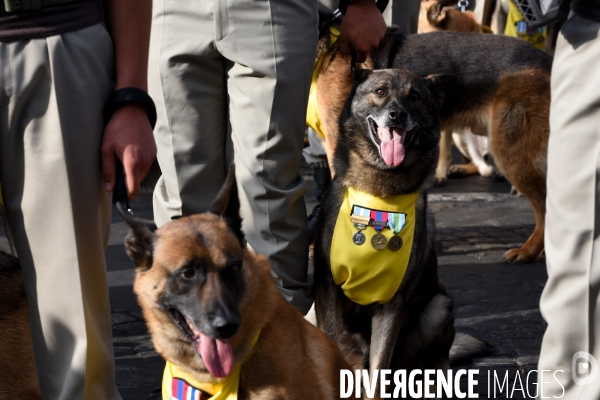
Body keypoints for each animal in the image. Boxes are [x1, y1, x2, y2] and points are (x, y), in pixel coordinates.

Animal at [314, 69, 488, 390]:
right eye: (380, 91)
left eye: (415, 96)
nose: (396, 115)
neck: (379, 193)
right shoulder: (326, 289)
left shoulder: (391, 304)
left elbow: (379, 367)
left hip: (439, 307)